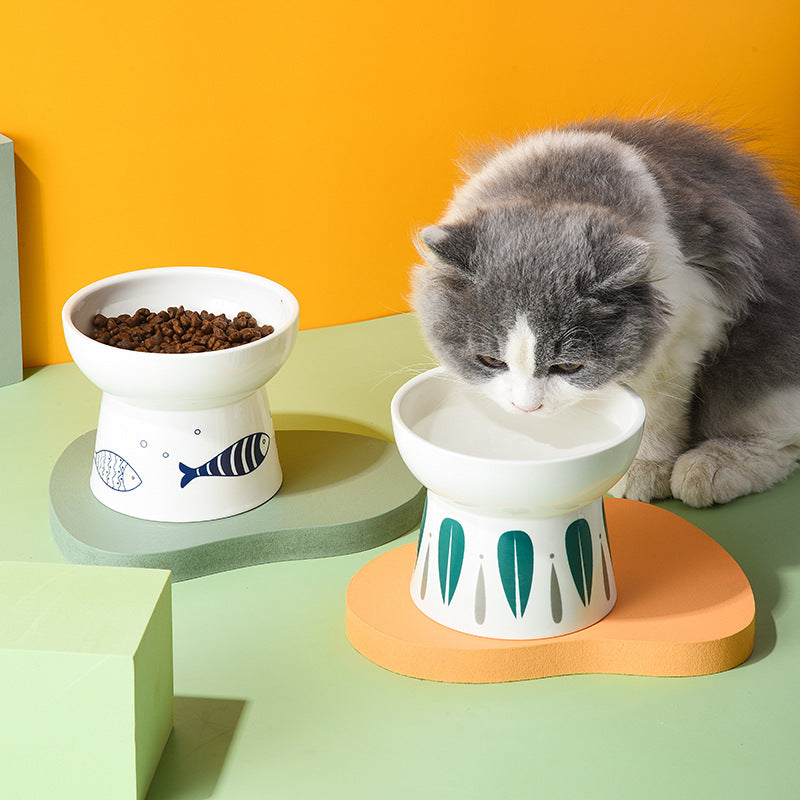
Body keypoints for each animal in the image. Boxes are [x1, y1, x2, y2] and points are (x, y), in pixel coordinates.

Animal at [412, 115, 800, 506]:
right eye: (491, 361)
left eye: (568, 367)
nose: (527, 409)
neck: (558, 189)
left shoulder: (684, 334)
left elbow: (656, 411)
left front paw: (642, 468)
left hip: (761, 354)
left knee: (778, 440)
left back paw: (709, 469)